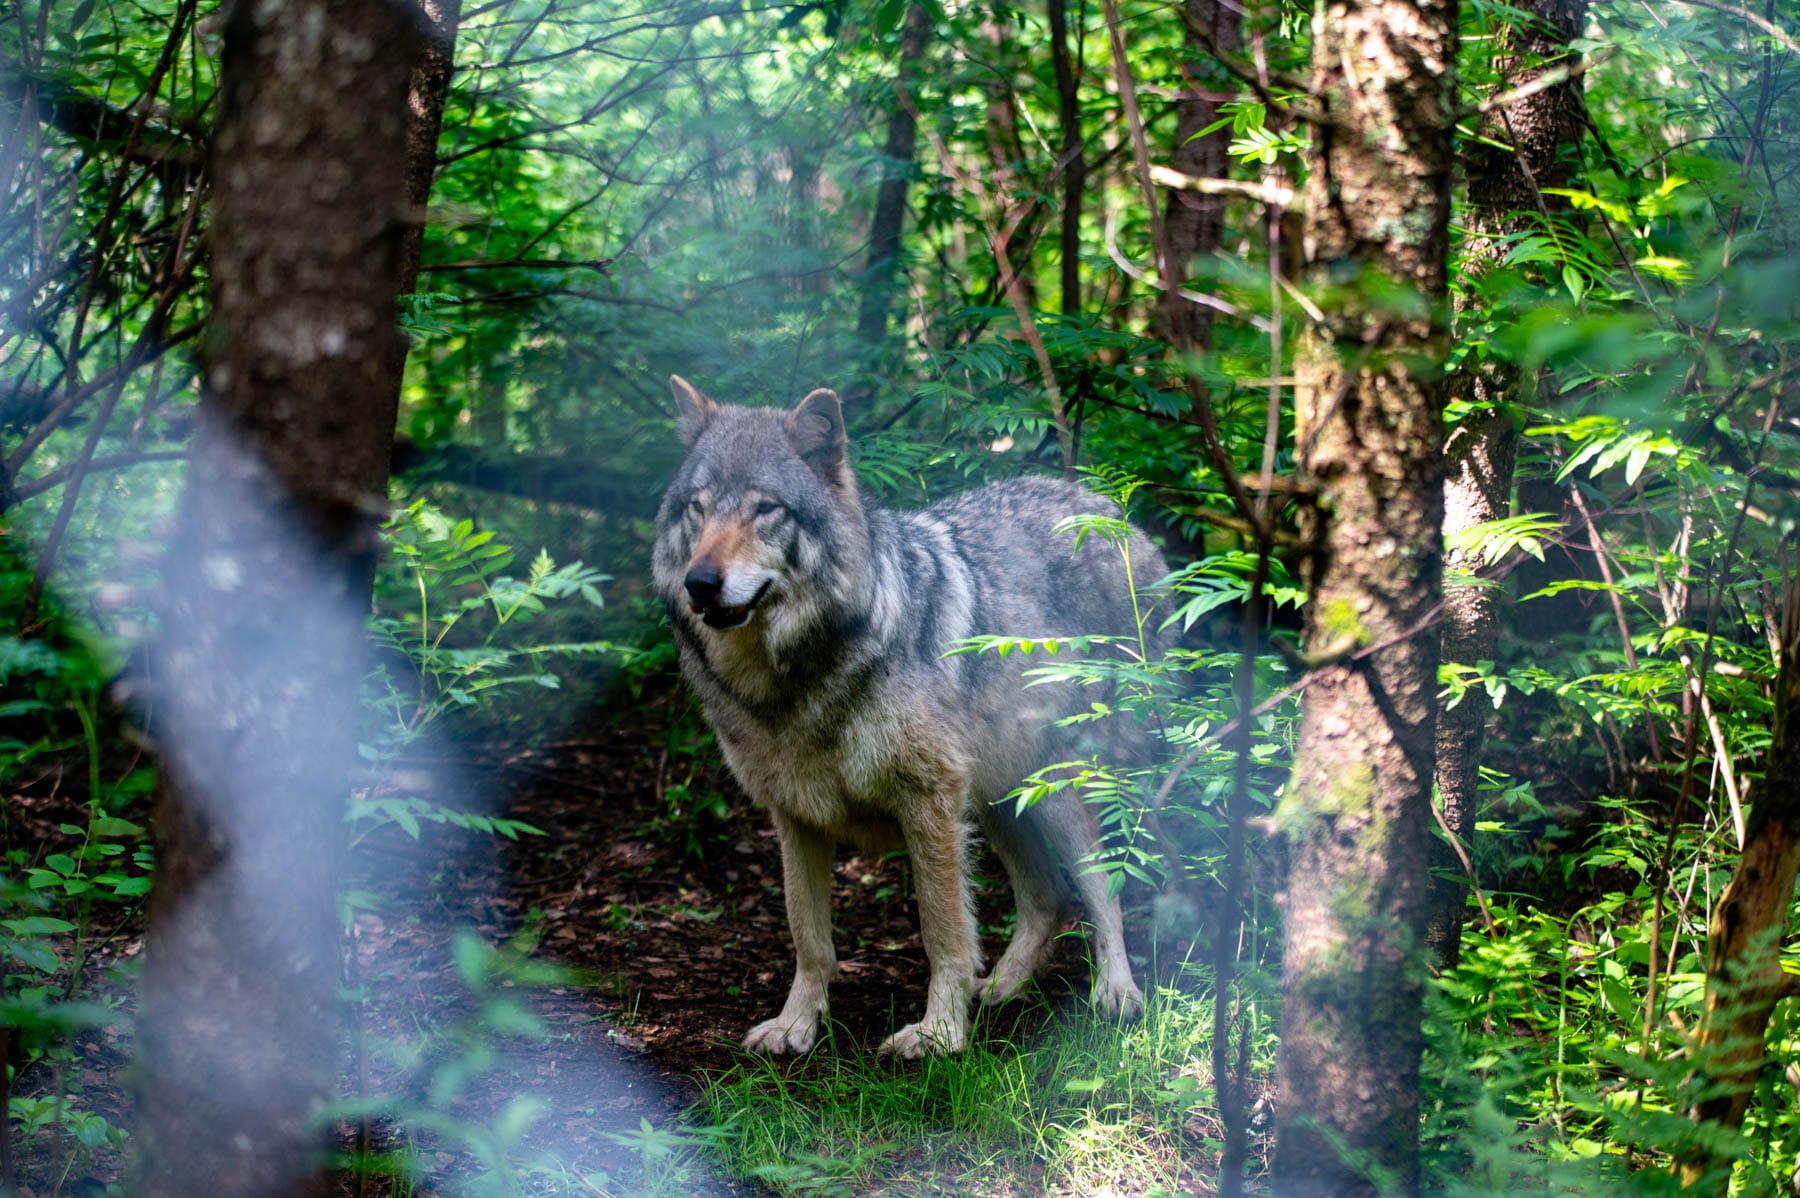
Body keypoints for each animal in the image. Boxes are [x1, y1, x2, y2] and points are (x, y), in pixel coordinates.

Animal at [652, 376, 1164, 1058]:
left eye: (765, 509)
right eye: (698, 509)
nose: (701, 583)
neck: (797, 680)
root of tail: (1110, 510)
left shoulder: (930, 802)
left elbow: (942, 932)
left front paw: (940, 1033)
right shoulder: (795, 816)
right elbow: (808, 937)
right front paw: (796, 1024)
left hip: (1055, 792)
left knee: (1103, 889)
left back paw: (1116, 993)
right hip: (997, 801)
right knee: (1048, 899)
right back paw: (1001, 989)